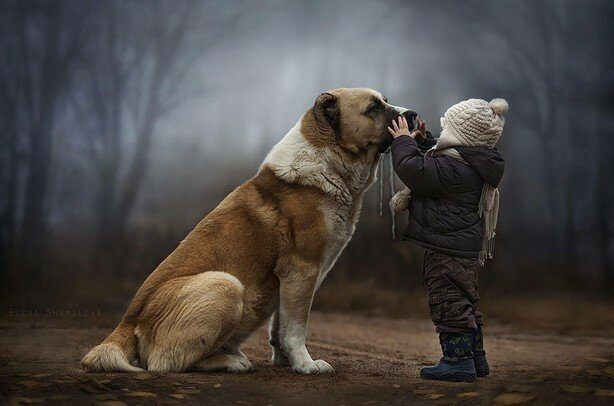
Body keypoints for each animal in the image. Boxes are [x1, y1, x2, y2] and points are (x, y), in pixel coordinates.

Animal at [83, 88, 418, 374]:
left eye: (385, 101)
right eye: (373, 108)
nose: (413, 115)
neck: (327, 161)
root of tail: (126, 324)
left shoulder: (291, 279)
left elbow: (281, 325)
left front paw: (285, 360)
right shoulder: (302, 270)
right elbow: (297, 326)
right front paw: (306, 364)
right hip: (226, 284)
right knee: (166, 362)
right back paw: (232, 361)